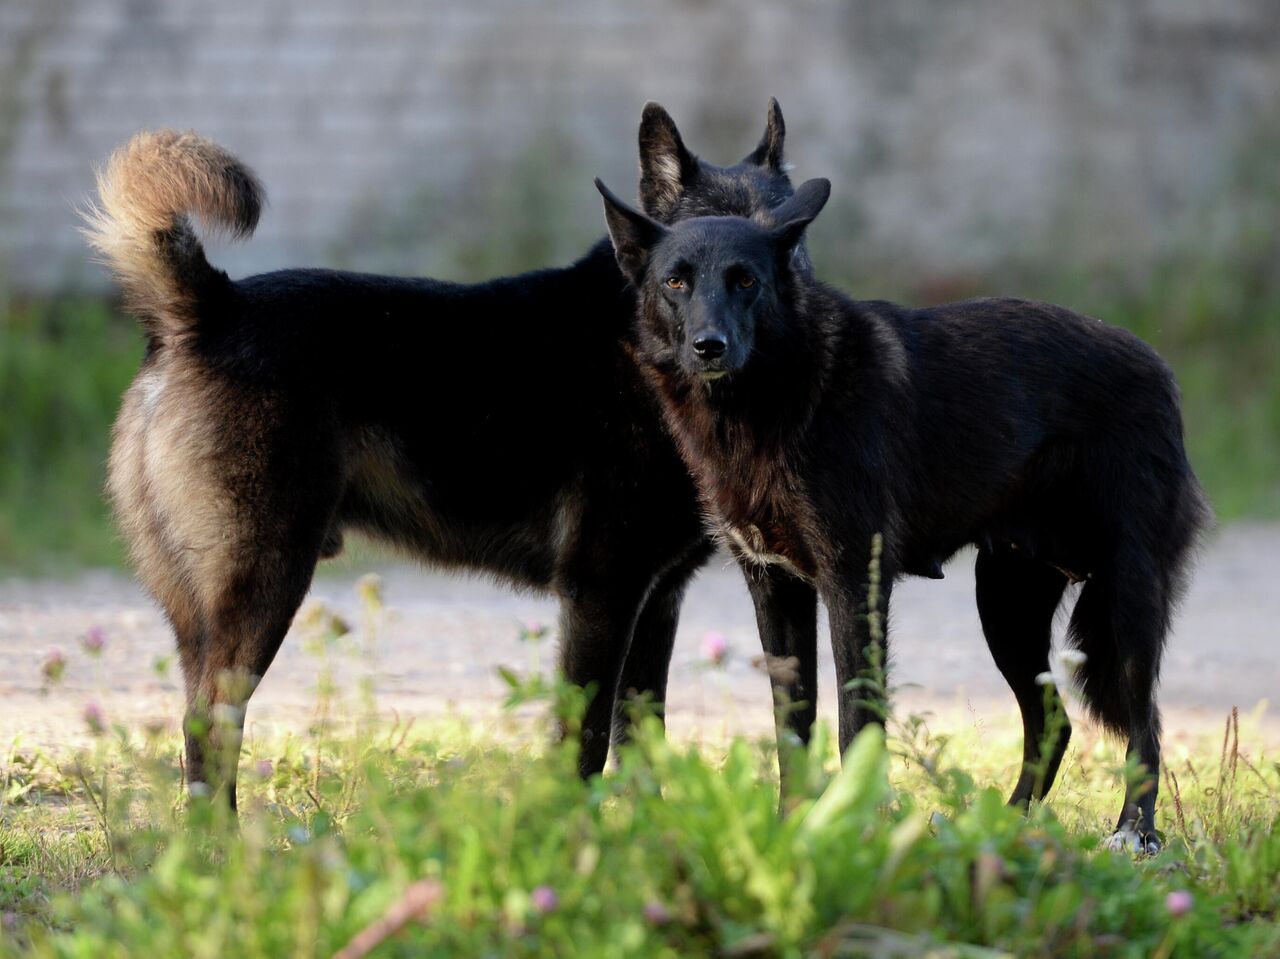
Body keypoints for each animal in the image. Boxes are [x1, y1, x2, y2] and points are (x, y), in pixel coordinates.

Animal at [85, 103, 803, 809]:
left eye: (787, 247)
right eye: (691, 270)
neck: (639, 340)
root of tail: (209, 306)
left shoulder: (656, 601)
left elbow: (641, 746)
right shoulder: (601, 593)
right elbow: (584, 743)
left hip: (202, 616)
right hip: (264, 587)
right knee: (209, 730)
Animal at [599, 175, 1208, 850]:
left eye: (746, 281)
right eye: (676, 281)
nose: (711, 347)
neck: (772, 402)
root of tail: (1157, 367)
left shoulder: (853, 584)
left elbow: (856, 723)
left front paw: (855, 830)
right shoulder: (775, 586)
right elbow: (792, 729)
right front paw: (793, 830)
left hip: (1126, 600)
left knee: (1145, 726)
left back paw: (1134, 834)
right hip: (1006, 610)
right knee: (1054, 723)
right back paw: (1004, 826)